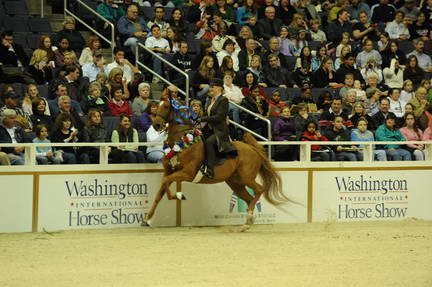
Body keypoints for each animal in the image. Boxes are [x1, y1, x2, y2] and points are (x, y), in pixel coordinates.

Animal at [143, 97, 292, 230]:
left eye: (166, 106)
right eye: (156, 105)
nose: (156, 125)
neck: (182, 142)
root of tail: (252, 148)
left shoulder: (187, 173)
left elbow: (165, 182)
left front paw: (179, 195)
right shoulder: (170, 172)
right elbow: (161, 190)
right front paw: (148, 219)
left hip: (247, 177)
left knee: (260, 190)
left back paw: (248, 218)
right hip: (235, 183)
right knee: (249, 198)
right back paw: (246, 224)